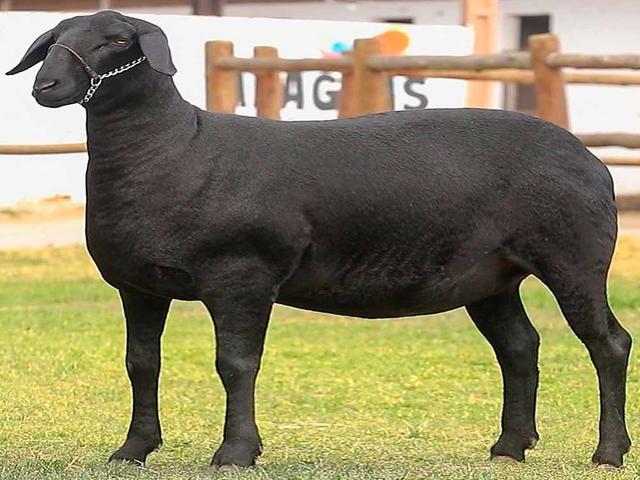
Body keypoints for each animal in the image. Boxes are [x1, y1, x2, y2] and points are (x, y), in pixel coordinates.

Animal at [7, 10, 631, 471]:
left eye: (115, 40)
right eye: (55, 39)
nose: (46, 85)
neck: (175, 148)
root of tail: (591, 159)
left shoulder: (242, 276)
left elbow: (236, 363)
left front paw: (236, 453)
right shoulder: (138, 285)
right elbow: (141, 363)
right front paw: (133, 450)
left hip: (575, 257)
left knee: (608, 344)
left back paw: (608, 452)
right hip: (491, 275)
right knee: (520, 347)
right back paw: (510, 448)